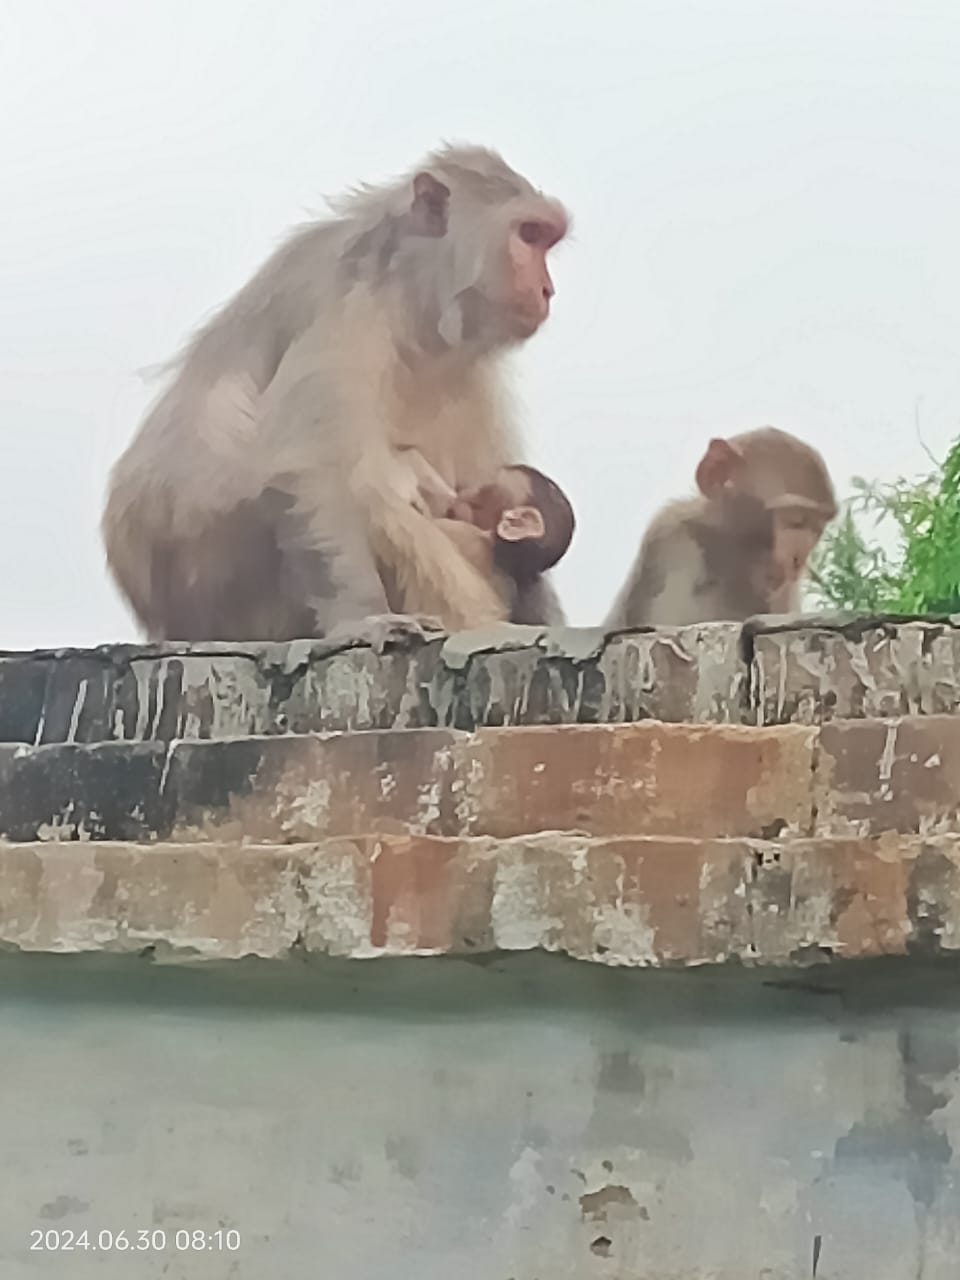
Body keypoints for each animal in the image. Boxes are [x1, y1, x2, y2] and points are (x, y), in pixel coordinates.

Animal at [102, 145, 570, 645]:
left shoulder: (472, 368)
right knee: (372, 482)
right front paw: (364, 617)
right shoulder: (348, 311)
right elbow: (308, 469)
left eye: (546, 239)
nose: (547, 290)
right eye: (528, 234)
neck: (412, 299)